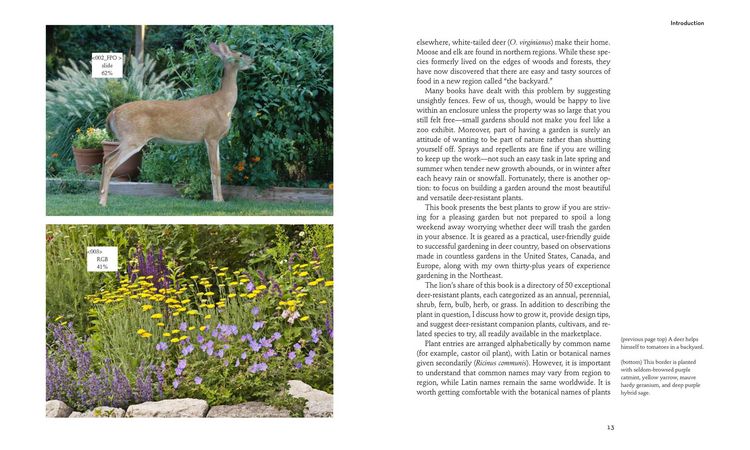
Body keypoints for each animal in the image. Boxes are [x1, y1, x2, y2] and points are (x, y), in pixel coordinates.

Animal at [99, 42, 254, 206]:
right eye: (241, 54)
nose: (253, 60)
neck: (223, 103)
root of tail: (112, 114)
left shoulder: (215, 139)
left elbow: (218, 168)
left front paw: (221, 199)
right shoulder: (211, 135)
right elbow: (215, 170)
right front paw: (218, 201)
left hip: (126, 140)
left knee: (106, 158)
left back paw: (99, 198)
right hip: (133, 138)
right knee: (110, 164)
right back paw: (103, 202)